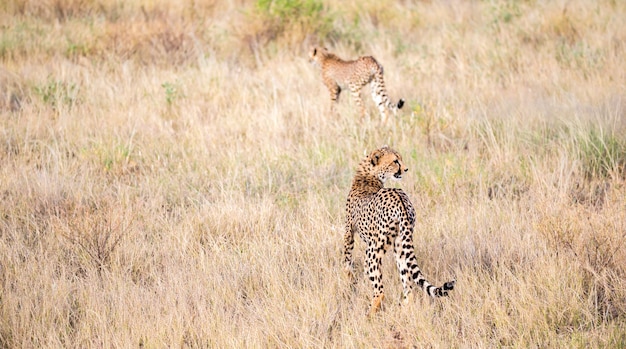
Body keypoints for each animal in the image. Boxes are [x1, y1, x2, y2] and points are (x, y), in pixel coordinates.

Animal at [342, 145, 454, 314]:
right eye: (395, 161)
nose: (406, 169)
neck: (369, 174)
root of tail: (400, 197)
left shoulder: (348, 231)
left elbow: (346, 259)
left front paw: (346, 281)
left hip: (373, 251)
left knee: (380, 290)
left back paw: (369, 313)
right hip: (401, 246)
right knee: (408, 285)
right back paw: (405, 309)